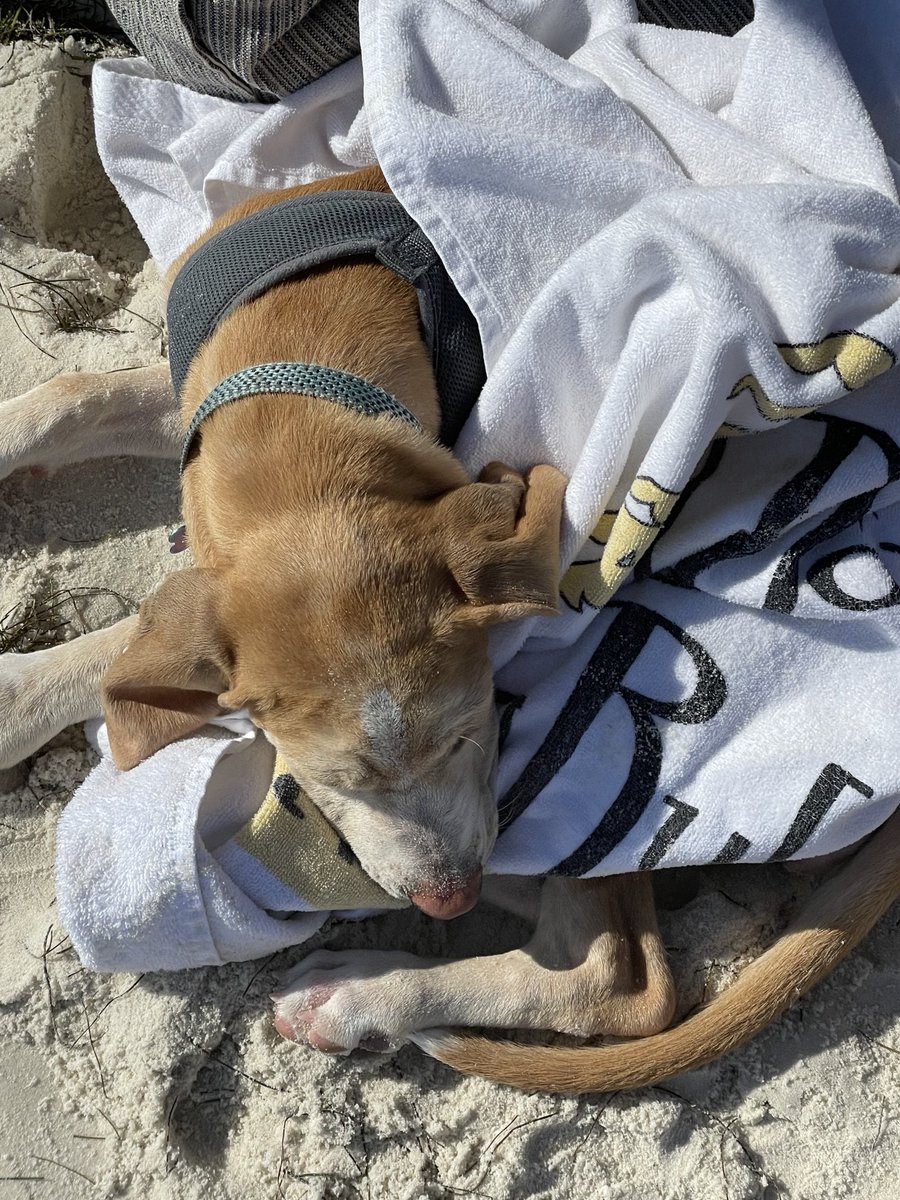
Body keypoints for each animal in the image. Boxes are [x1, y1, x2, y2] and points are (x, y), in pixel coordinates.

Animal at [1, 164, 900, 1094]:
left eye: (473, 729)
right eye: (335, 778)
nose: (448, 899)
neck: (299, 391)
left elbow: (128, 635)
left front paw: (14, 692)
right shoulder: (193, 407)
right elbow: (73, 396)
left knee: (617, 978)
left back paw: (362, 997)